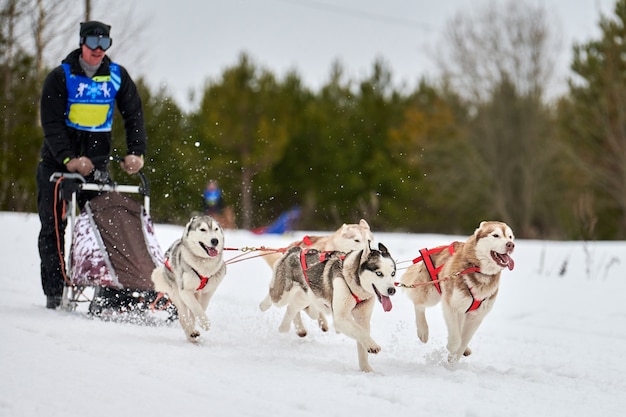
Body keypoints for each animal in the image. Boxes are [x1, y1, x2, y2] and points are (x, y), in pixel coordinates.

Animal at [152, 214, 227, 342]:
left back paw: (193, 333)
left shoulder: (208, 292)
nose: (215, 240)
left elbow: (200, 307)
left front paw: (201, 321)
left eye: (216, 229)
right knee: (183, 318)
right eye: (203, 229)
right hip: (177, 295)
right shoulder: (185, 291)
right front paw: (205, 323)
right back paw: (190, 333)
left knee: (190, 315)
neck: (204, 265)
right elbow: (196, 307)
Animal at [260, 242, 398, 372]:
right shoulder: (340, 318)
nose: (392, 290)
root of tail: (295, 249)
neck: (354, 284)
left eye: (393, 273)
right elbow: (360, 331)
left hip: (306, 296)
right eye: (379, 273)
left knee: (293, 307)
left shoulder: (362, 319)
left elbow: (362, 338)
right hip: (282, 295)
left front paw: (367, 370)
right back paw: (264, 306)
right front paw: (372, 346)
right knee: (273, 295)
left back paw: (288, 327)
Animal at [400, 221, 512, 360]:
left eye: (510, 237)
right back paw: (423, 331)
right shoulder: (451, 306)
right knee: (419, 304)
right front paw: (452, 349)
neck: (478, 270)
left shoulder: (476, 316)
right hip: (431, 294)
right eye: (495, 235)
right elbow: (457, 340)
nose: (510, 244)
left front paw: (453, 361)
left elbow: (463, 341)